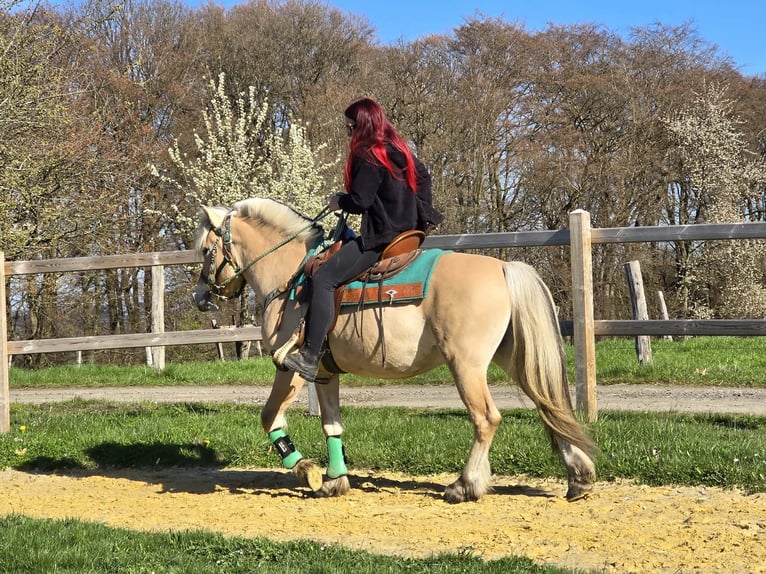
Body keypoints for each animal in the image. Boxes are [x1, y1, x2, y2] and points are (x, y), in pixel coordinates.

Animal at [192, 197, 596, 503]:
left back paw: (464, 486)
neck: (292, 276)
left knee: (486, 419)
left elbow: (269, 417)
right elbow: (331, 423)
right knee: (549, 406)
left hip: (466, 366)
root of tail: (503, 267)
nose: (199, 297)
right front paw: (335, 479)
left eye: (207, 250)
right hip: (513, 358)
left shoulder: (289, 368)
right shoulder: (323, 373)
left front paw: (306, 471)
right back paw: (579, 477)